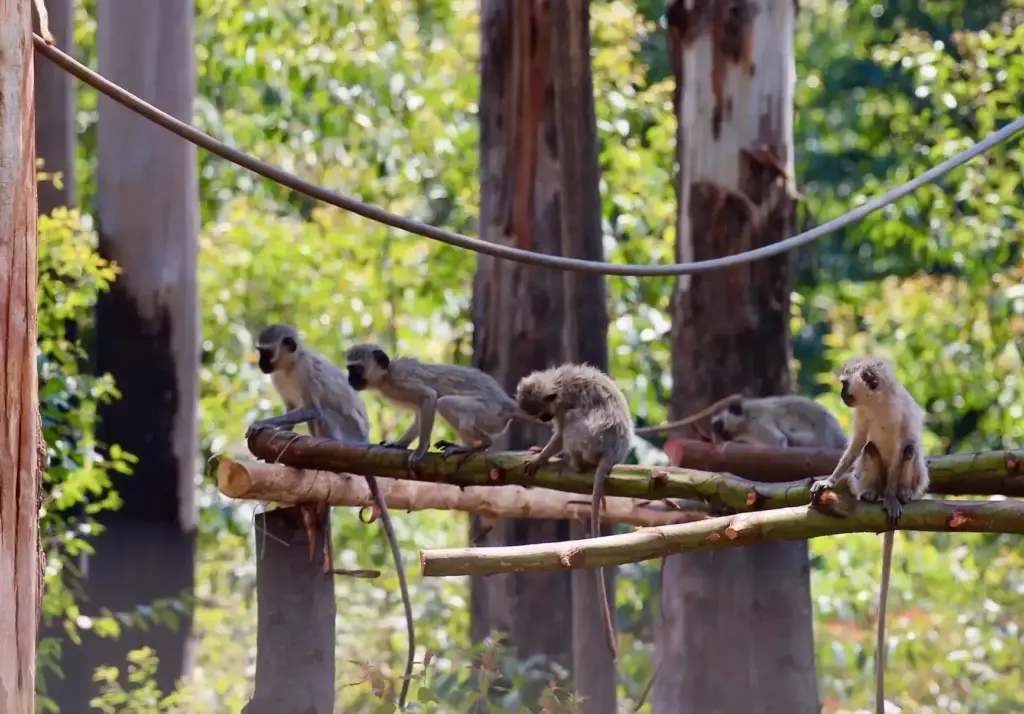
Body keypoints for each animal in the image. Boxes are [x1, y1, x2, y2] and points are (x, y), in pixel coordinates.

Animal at [244, 325, 416, 710]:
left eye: (265, 351)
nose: (260, 363)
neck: (291, 365)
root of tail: (362, 440)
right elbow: (294, 408)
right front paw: (277, 430)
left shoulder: (308, 376)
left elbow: (309, 407)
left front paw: (265, 422)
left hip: (343, 434)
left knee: (320, 413)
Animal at [344, 343, 545, 473]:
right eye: (349, 369)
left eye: (356, 370)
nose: (349, 379)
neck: (387, 375)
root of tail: (505, 404)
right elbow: (420, 413)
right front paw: (400, 444)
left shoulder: (402, 381)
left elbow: (430, 397)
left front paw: (420, 450)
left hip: (488, 413)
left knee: (445, 403)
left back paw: (475, 445)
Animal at [514, 363, 634, 661]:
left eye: (543, 412)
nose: (544, 418)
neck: (557, 383)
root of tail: (613, 453)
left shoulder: (562, 404)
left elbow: (560, 432)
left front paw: (542, 456)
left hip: (592, 441)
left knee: (573, 422)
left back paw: (574, 463)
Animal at [808, 355, 929, 714]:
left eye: (845, 383)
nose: (842, 395)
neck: (877, 402)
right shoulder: (861, 416)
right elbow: (857, 445)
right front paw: (829, 480)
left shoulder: (902, 411)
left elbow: (904, 445)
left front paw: (891, 498)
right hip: (868, 475)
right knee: (871, 449)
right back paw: (872, 494)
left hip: (912, 478)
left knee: (908, 452)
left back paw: (897, 495)